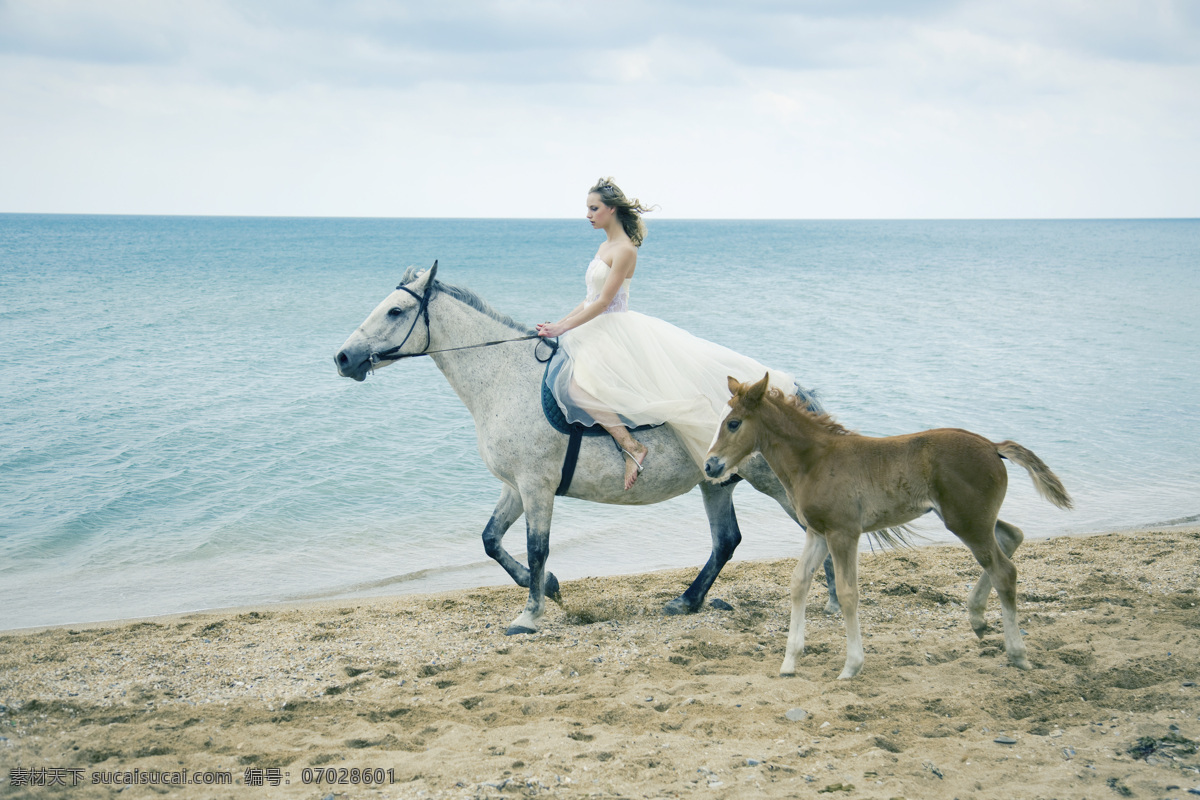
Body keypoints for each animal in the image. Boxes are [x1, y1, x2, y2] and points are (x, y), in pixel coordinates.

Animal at [338, 266, 864, 633]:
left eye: (395, 312)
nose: (343, 358)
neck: (507, 376)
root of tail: (783, 390)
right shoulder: (516, 487)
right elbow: (491, 540)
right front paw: (550, 590)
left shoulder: (536, 487)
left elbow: (536, 548)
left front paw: (530, 614)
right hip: (716, 481)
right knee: (726, 541)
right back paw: (687, 600)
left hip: (773, 481)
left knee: (813, 532)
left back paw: (830, 602)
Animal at [700, 371, 1075, 681]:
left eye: (733, 423)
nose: (710, 464)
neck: (816, 460)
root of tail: (993, 447)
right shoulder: (818, 532)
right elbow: (798, 583)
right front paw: (790, 662)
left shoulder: (844, 532)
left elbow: (848, 593)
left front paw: (851, 666)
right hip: (969, 519)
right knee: (1012, 536)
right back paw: (978, 619)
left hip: (967, 521)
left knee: (1004, 570)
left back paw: (1017, 652)